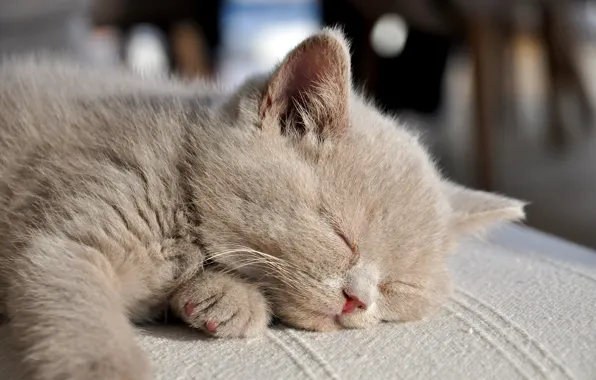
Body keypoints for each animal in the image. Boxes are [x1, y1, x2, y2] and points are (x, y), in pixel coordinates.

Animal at [0, 27, 520, 380]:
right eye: (340, 235)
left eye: (398, 286)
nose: (358, 300)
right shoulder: (71, 239)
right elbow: (84, 322)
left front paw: (223, 299)